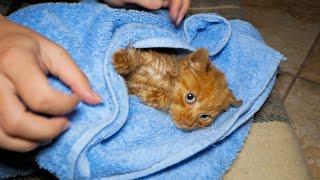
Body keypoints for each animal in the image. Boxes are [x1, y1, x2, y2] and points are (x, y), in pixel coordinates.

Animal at [112, 47, 240, 129]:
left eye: (204, 117)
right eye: (190, 97)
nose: (188, 124)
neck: (166, 79)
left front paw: (153, 95)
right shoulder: (151, 60)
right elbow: (140, 58)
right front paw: (124, 59)